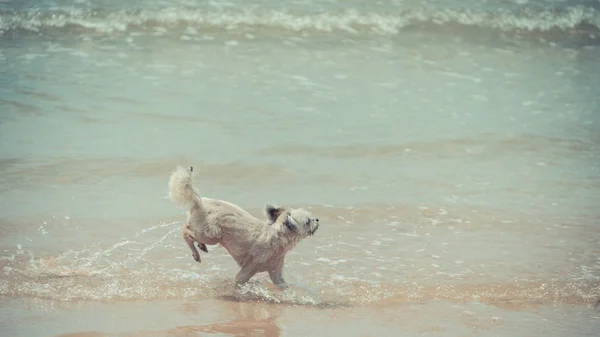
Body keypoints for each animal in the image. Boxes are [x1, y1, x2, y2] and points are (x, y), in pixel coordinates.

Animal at [169, 164, 318, 288]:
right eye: (307, 221)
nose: (317, 219)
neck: (275, 239)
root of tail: (199, 203)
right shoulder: (249, 269)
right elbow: (239, 280)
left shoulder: (276, 273)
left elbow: (282, 286)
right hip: (211, 235)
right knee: (186, 232)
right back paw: (195, 253)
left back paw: (201, 246)